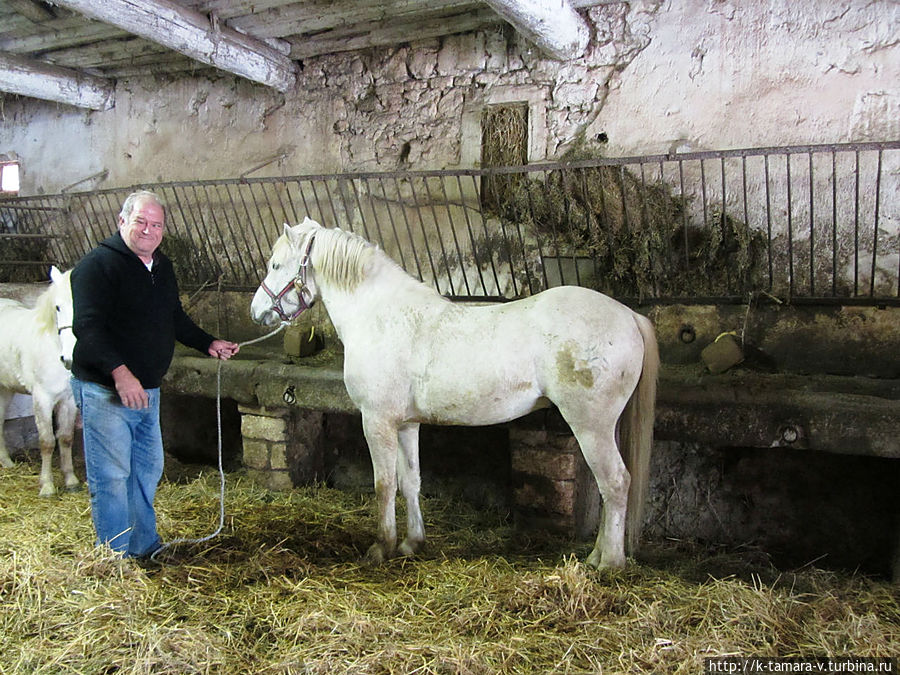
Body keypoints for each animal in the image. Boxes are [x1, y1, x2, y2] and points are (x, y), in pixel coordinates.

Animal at [0, 268, 79, 496]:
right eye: (58, 307)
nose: (69, 358)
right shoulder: (43, 398)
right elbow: (47, 441)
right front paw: (47, 486)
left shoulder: (69, 399)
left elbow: (65, 438)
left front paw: (71, 480)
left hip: (5, 390)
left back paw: (7, 462)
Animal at [250, 219, 656, 568]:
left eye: (276, 264)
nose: (257, 311)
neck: (380, 316)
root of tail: (628, 316)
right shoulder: (406, 424)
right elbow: (410, 482)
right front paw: (412, 543)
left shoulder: (376, 421)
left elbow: (384, 485)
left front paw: (381, 547)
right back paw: (599, 555)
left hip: (591, 426)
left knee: (615, 483)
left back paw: (607, 563)